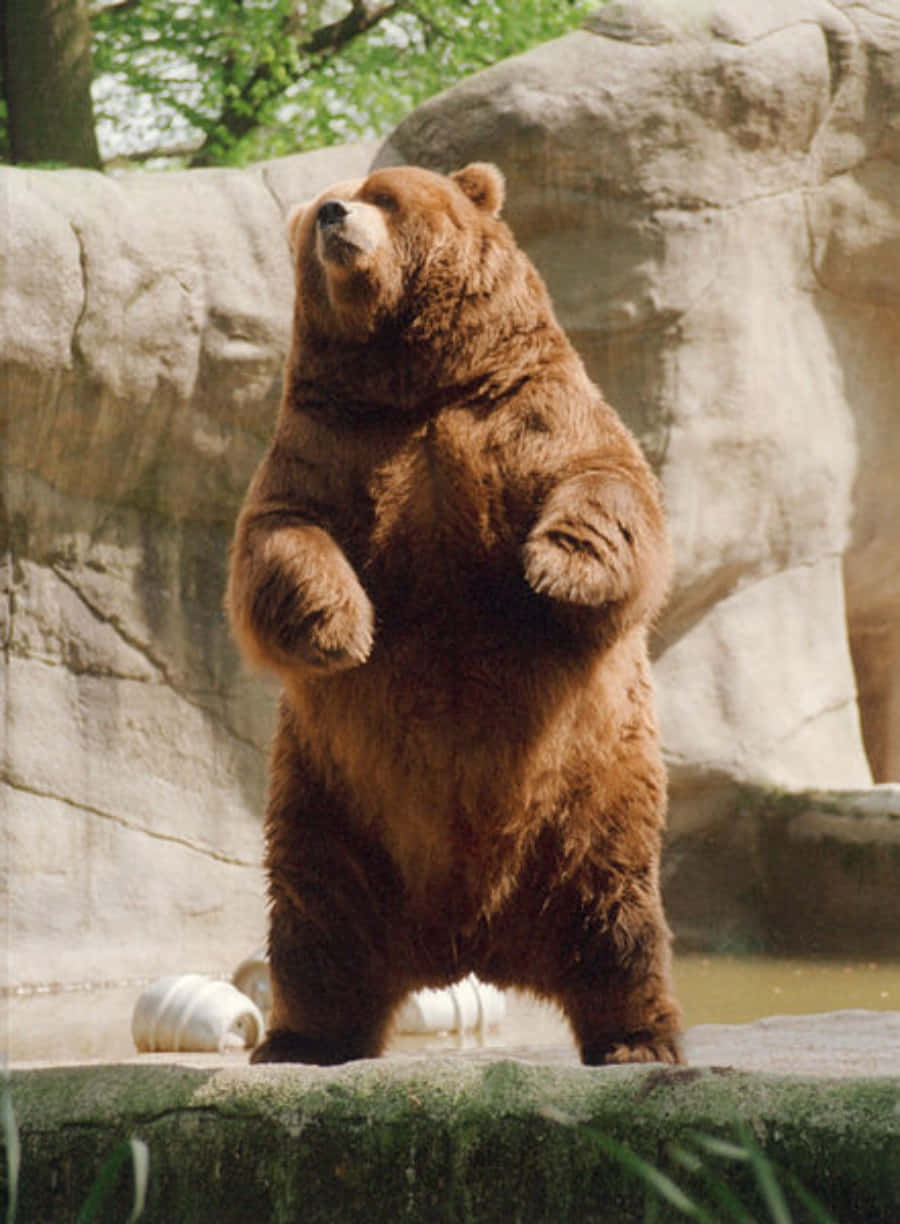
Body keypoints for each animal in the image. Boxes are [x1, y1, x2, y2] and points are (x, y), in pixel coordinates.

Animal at [226, 161, 683, 1066]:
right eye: (317, 210)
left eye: (383, 193)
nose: (332, 214)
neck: (417, 382)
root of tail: (467, 942)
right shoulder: (329, 439)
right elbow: (283, 533)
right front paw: (341, 627)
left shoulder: (529, 412)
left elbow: (606, 486)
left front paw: (555, 568)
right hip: (330, 806)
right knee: (317, 919)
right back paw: (303, 1040)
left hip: (593, 804)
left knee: (617, 919)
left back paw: (638, 1040)